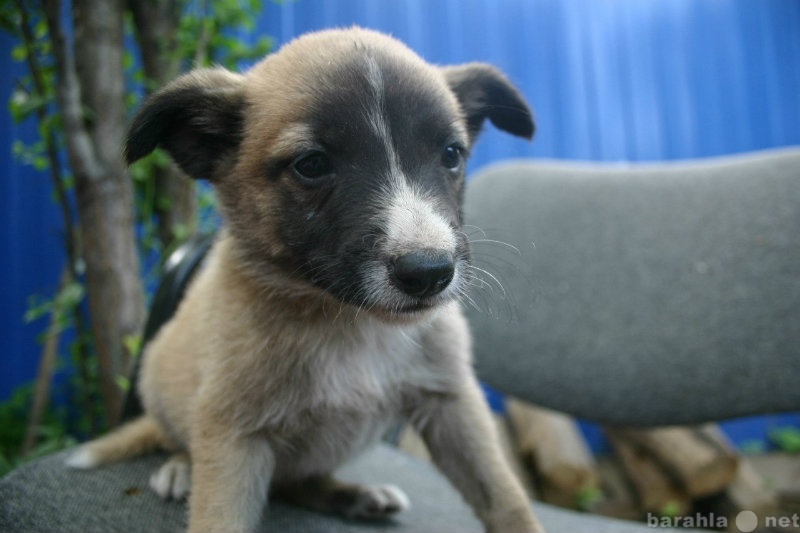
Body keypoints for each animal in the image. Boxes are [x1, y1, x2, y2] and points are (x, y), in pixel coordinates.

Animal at [69, 28, 540, 532]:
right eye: (311, 164)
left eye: (451, 154)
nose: (429, 273)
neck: (348, 322)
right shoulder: (233, 434)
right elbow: (217, 518)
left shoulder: (451, 400)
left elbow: (505, 496)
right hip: (160, 381)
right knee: (177, 438)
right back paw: (180, 466)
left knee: (298, 483)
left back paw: (357, 496)